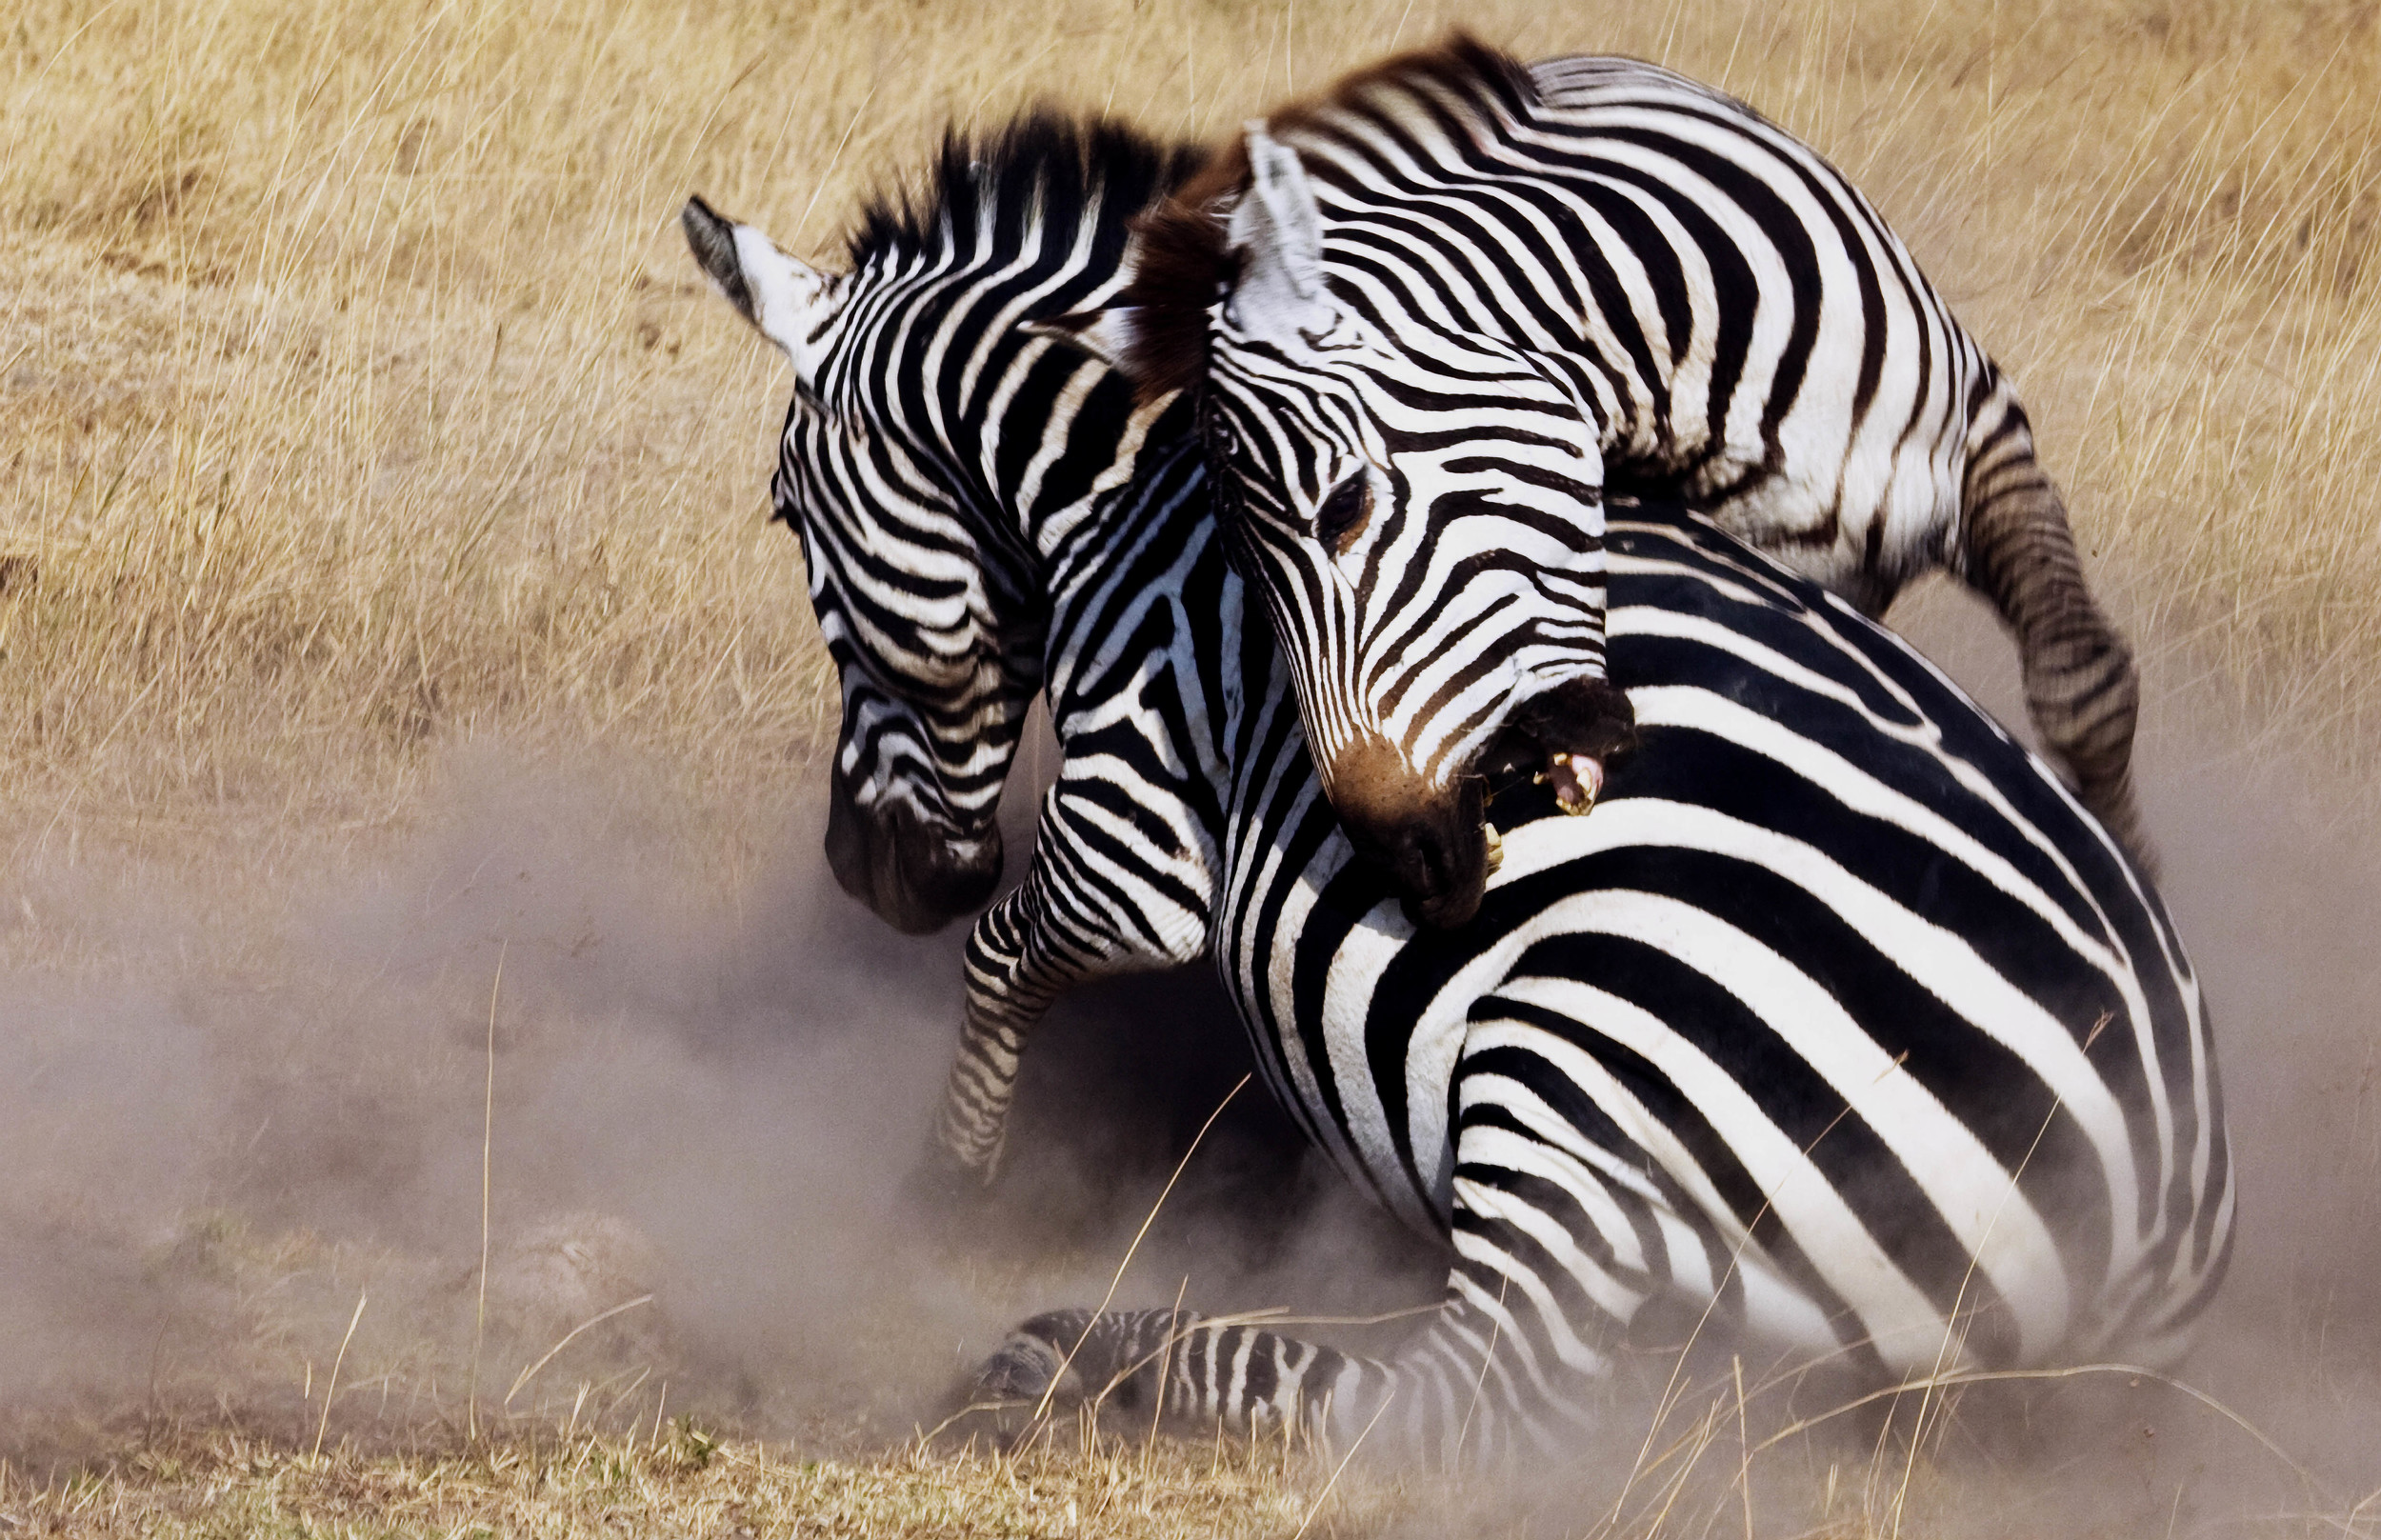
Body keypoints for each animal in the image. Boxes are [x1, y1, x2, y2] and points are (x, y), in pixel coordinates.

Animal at [1090, 32, 2152, 928]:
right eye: (1244, 576)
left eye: (1345, 507)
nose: (1412, 870)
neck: (1694, 384)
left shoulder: (1983, 431)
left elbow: (2083, 689)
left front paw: (2134, 881)